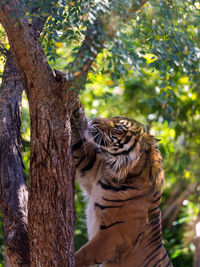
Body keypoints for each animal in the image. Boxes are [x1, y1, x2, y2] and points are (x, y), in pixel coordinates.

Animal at [71, 107, 173, 267]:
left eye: (118, 128)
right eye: (114, 117)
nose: (94, 120)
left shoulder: (114, 235)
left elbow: (84, 253)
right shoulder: (89, 167)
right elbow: (79, 144)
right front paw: (75, 108)